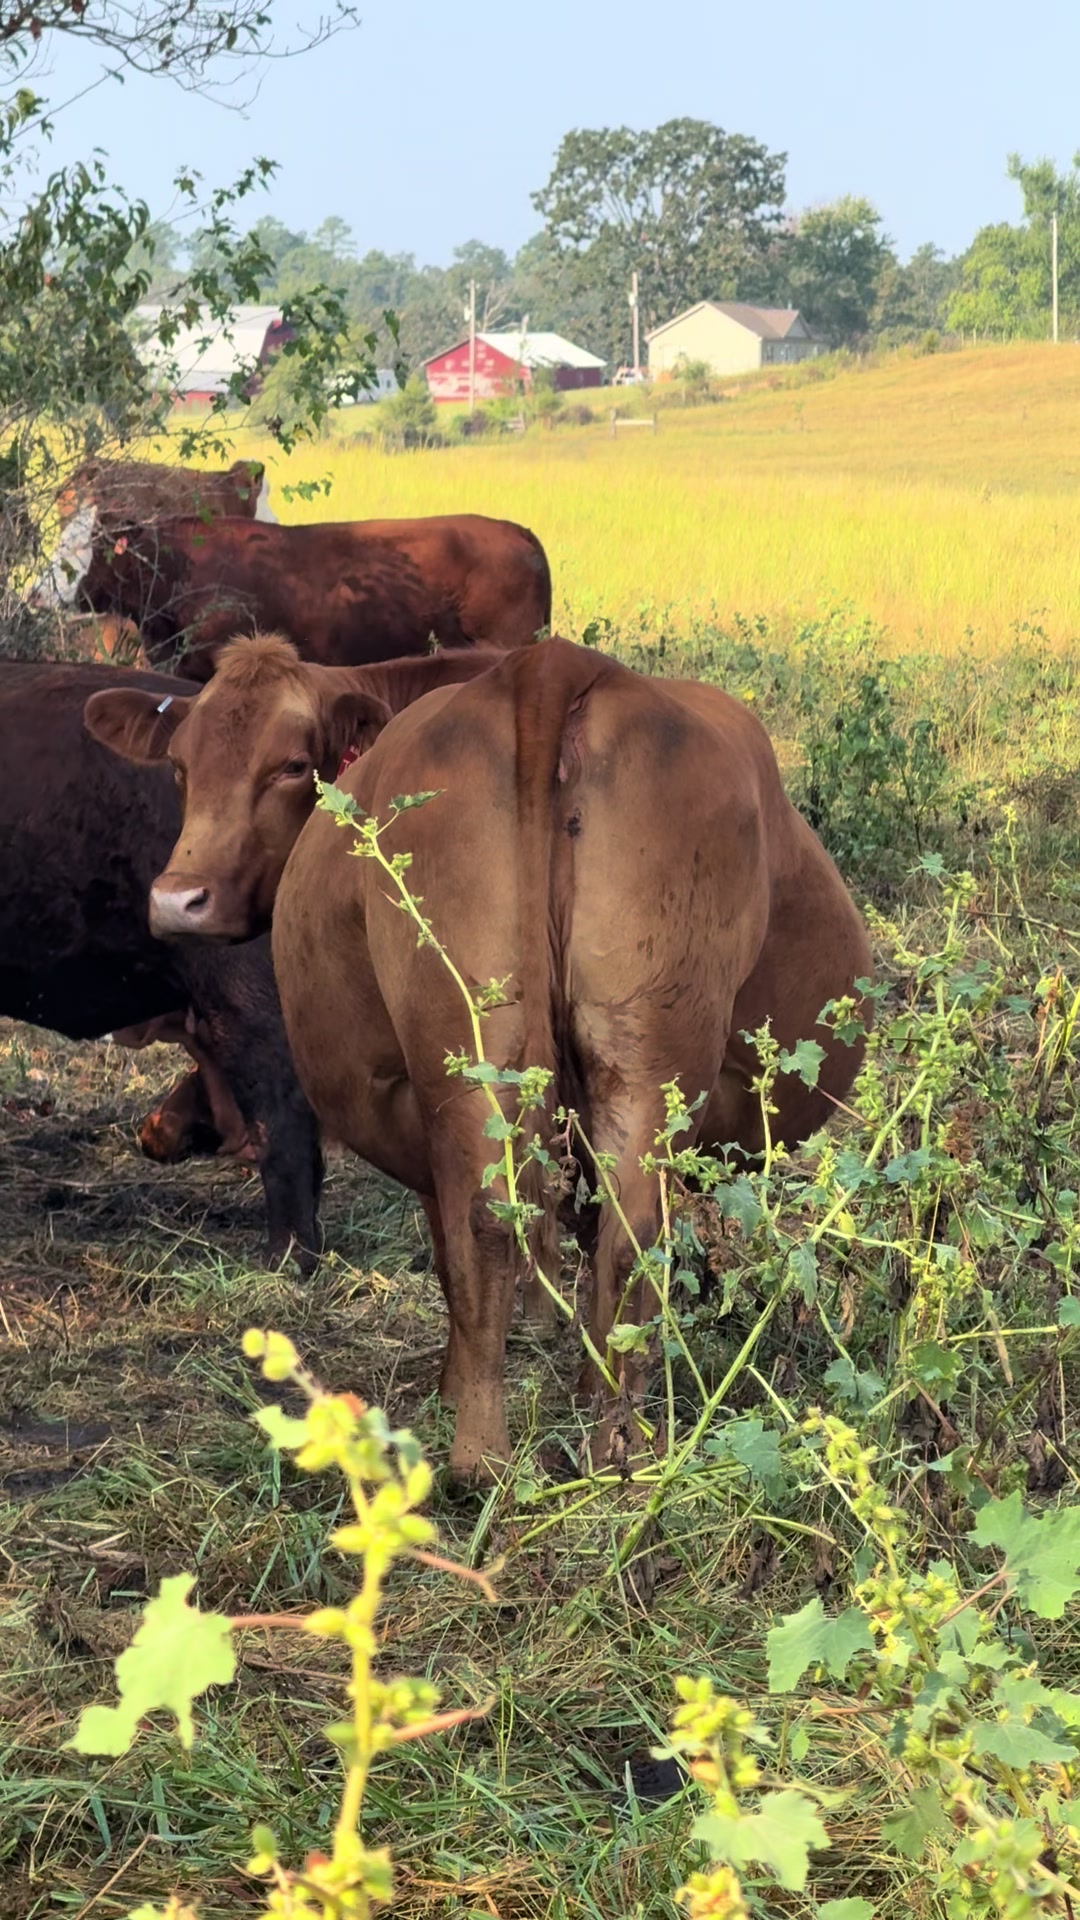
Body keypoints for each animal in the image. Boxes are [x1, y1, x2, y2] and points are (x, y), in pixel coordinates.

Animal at [85, 636, 873, 1482]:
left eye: (292, 765)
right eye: (180, 764)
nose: (178, 900)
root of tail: (549, 667)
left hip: (495, 1058)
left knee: (523, 1223)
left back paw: (516, 1454)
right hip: (630, 1058)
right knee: (600, 1226)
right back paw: (588, 1445)